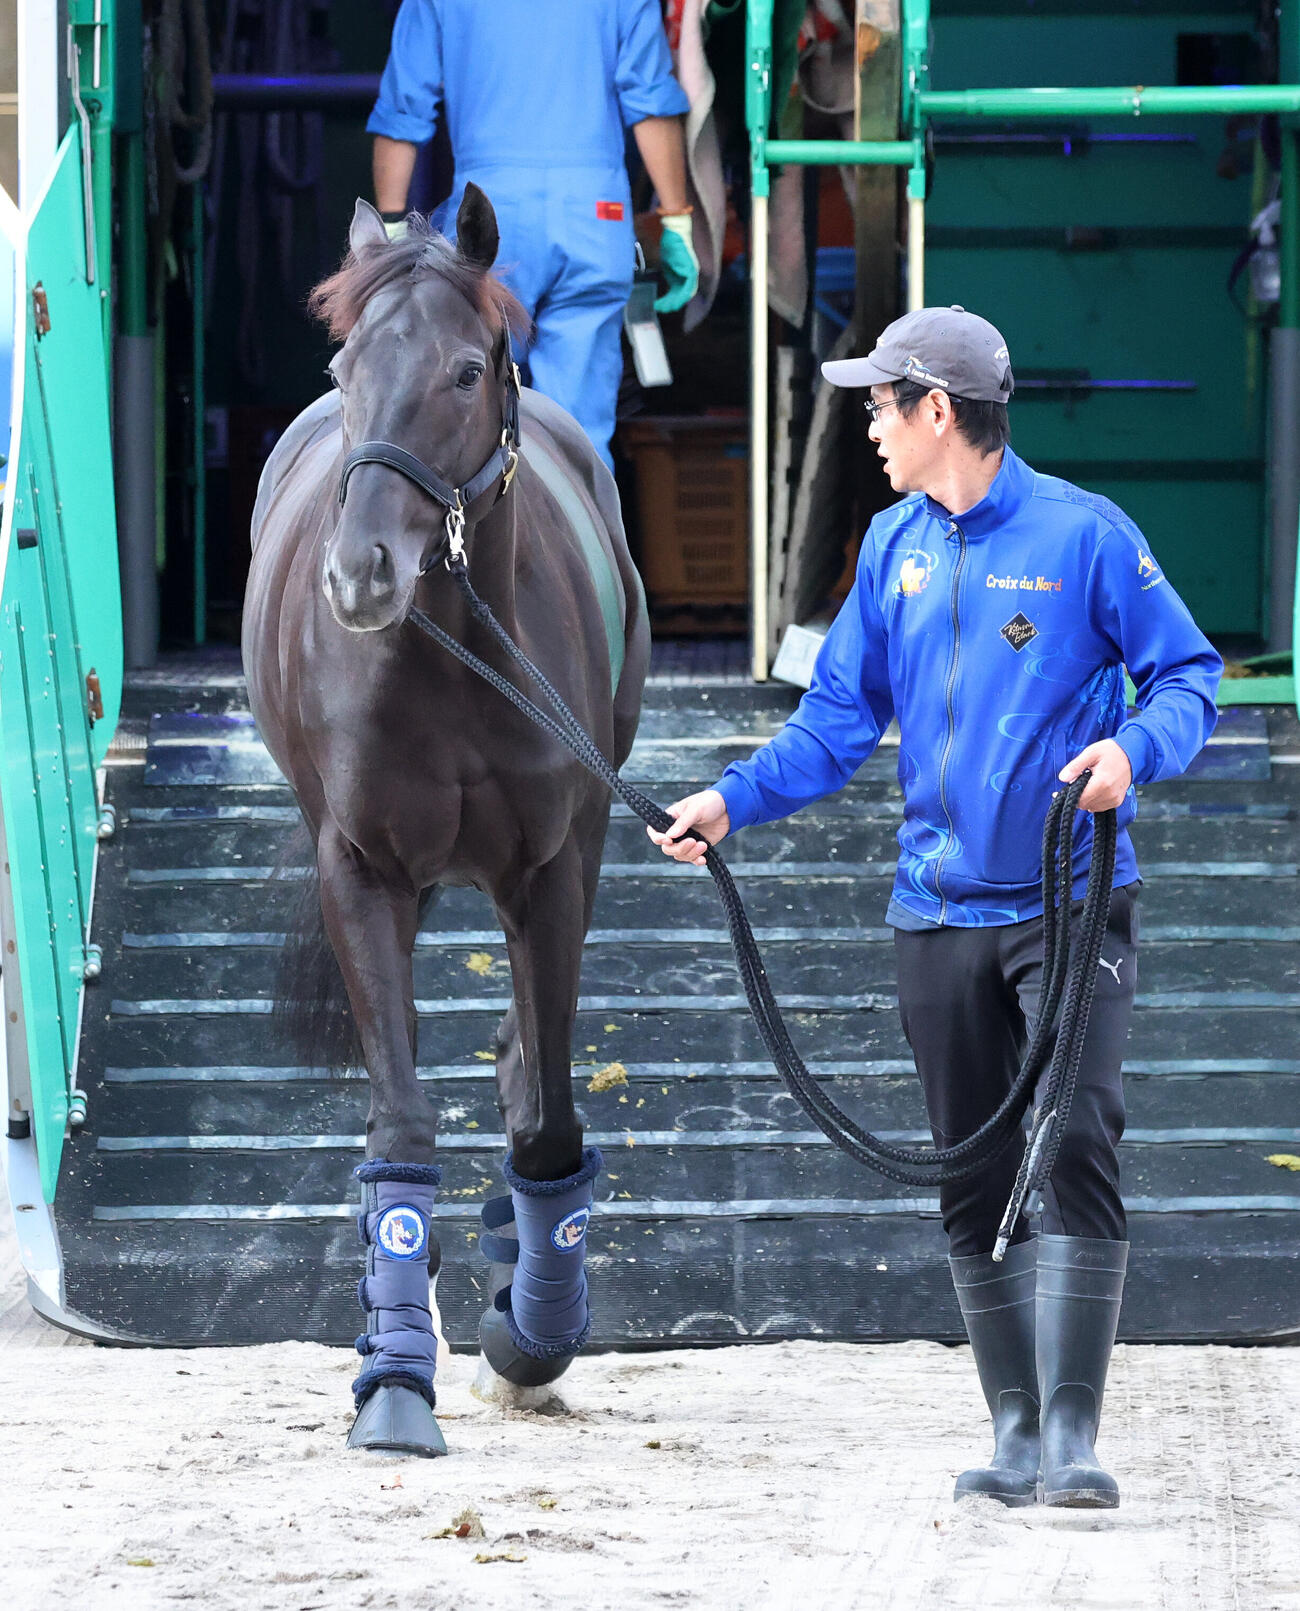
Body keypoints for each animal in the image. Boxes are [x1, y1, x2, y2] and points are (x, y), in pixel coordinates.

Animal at [242, 188, 649, 1457]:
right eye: (345, 363)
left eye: (468, 371)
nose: (358, 574)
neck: (455, 656)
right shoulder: (363, 873)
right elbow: (402, 1126)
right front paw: (396, 1383)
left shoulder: (556, 871)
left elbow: (546, 1121)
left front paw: (528, 1338)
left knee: (522, 1069)